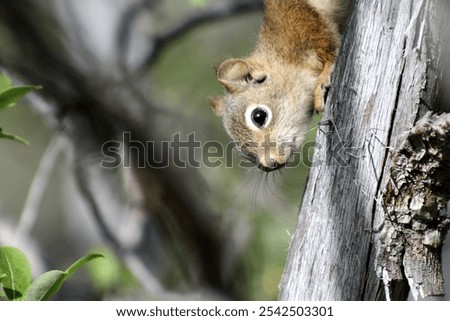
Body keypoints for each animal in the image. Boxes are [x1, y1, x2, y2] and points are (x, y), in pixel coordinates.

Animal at [210, 0, 348, 171]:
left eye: (259, 116)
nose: (270, 164)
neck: (281, 56)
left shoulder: (301, 23)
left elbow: (330, 46)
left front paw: (323, 80)